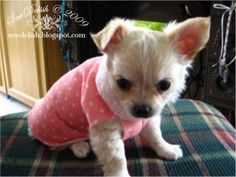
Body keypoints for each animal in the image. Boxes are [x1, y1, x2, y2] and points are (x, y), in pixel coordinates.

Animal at [28, 17, 210, 176]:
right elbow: (116, 158)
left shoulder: (150, 119)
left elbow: (155, 136)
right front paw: (119, 174)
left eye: (165, 85)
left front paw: (166, 149)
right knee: (60, 143)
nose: (142, 110)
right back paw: (79, 146)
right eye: (122, 83)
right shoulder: (106, 133)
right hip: (59, 131)